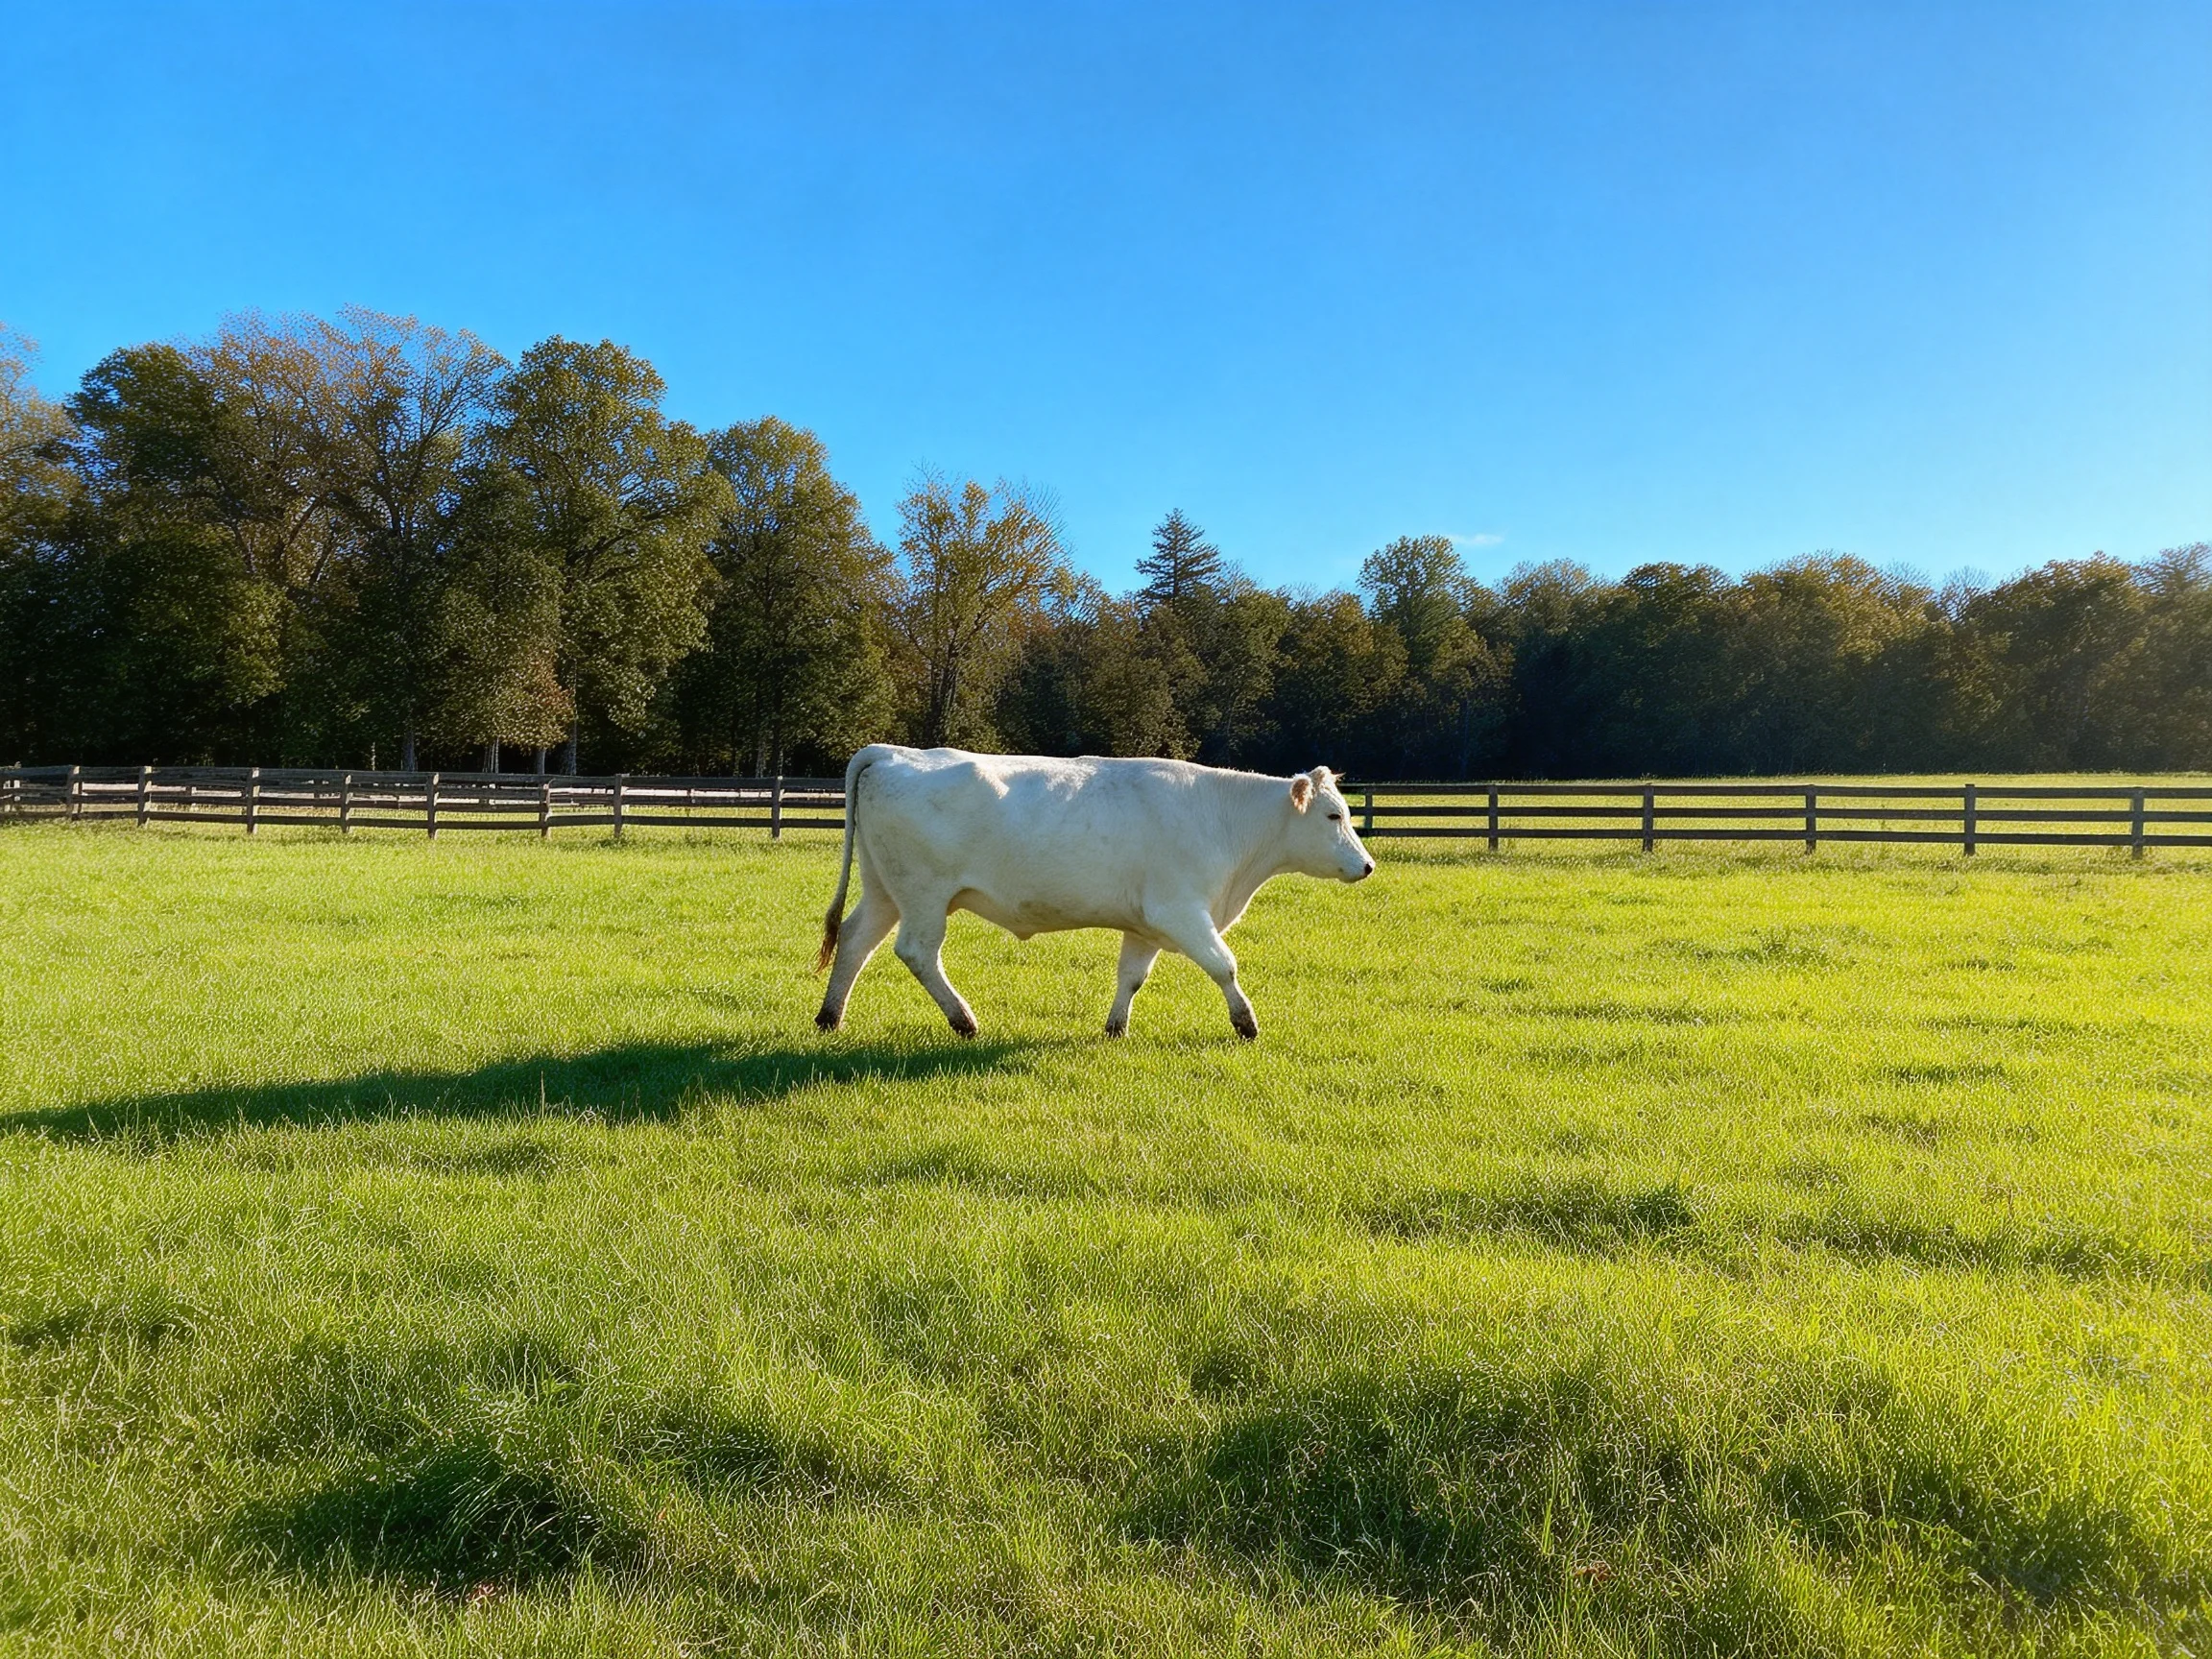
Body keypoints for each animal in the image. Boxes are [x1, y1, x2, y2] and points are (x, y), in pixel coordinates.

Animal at [813, 745, 1374, 1041]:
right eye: (1333, 815)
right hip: (925, 895)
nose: (1367, 865)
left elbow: (1132, 978)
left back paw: (829, 1017)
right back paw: (964, 1020)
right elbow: (1224, 965)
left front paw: (1115, 1029)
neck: (1223, 819)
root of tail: (893, 751)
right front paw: (1246, 1023)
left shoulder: (1146, 924)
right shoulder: (1180, 911)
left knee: (855, 940)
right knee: (916, 952)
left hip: (885, 889)